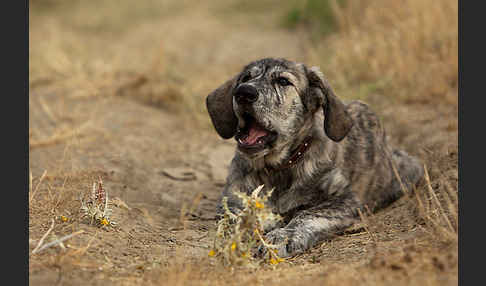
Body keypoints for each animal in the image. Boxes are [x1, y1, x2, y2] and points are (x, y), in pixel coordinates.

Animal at [204, 57, 422, 258]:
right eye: (246, 78)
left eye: (283, 81)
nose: (243, 92)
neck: (279, 168)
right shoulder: (231, 202)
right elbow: (241, 217)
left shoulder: (345, 200)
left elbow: (307, 214)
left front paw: (283, 236)